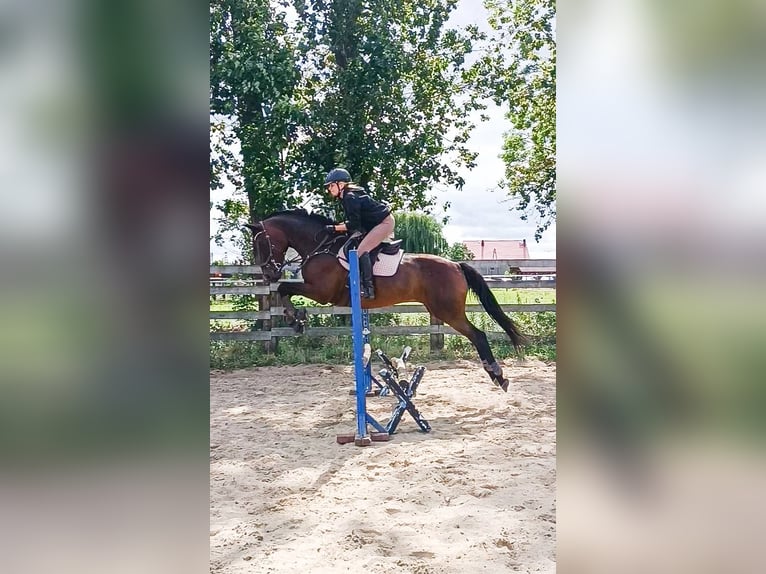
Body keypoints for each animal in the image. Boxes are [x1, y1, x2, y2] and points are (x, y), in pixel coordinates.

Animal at [244, 209, 527, 391]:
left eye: (260, 245)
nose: (268, 274)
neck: (320, 247)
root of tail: (456, 265)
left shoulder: (321, 292)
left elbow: (284, 289)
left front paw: (297, 319)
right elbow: (284, 290)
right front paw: (297, 320)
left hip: (449, 312)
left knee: (478, 335)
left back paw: (498, 375)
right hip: (443, 310)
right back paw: (498, 376)